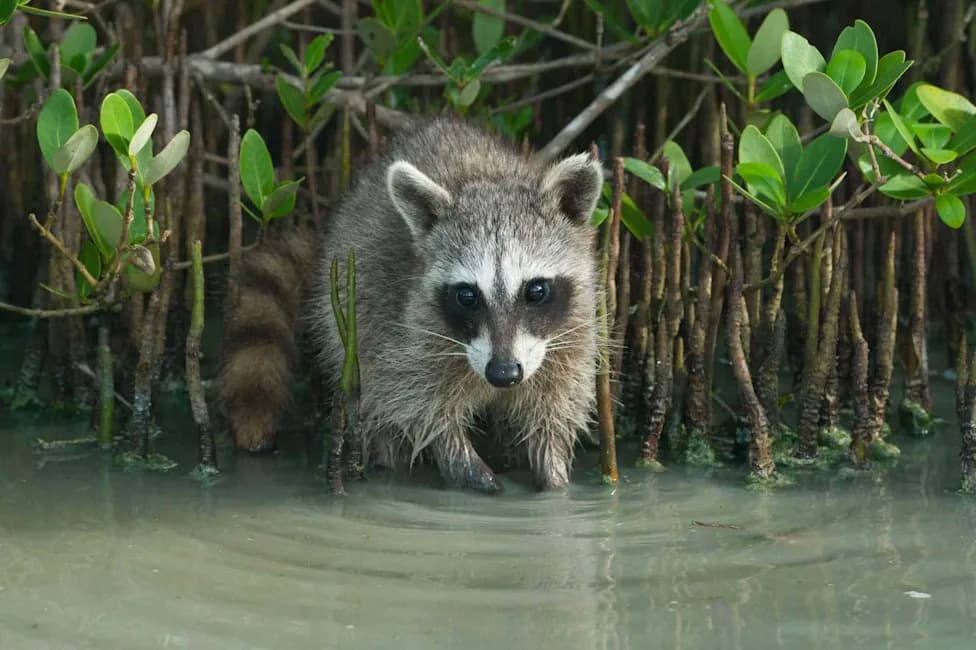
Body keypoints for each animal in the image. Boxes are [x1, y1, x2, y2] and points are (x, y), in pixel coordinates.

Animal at [219, 118, 603, 491]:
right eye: (467, 296)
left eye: (536, 291)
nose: (503, 373)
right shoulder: (409, 329)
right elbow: (416, 404)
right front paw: (461, 462)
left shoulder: (573, 332)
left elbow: (555, 410)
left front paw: (554, 476)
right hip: (350, 308)